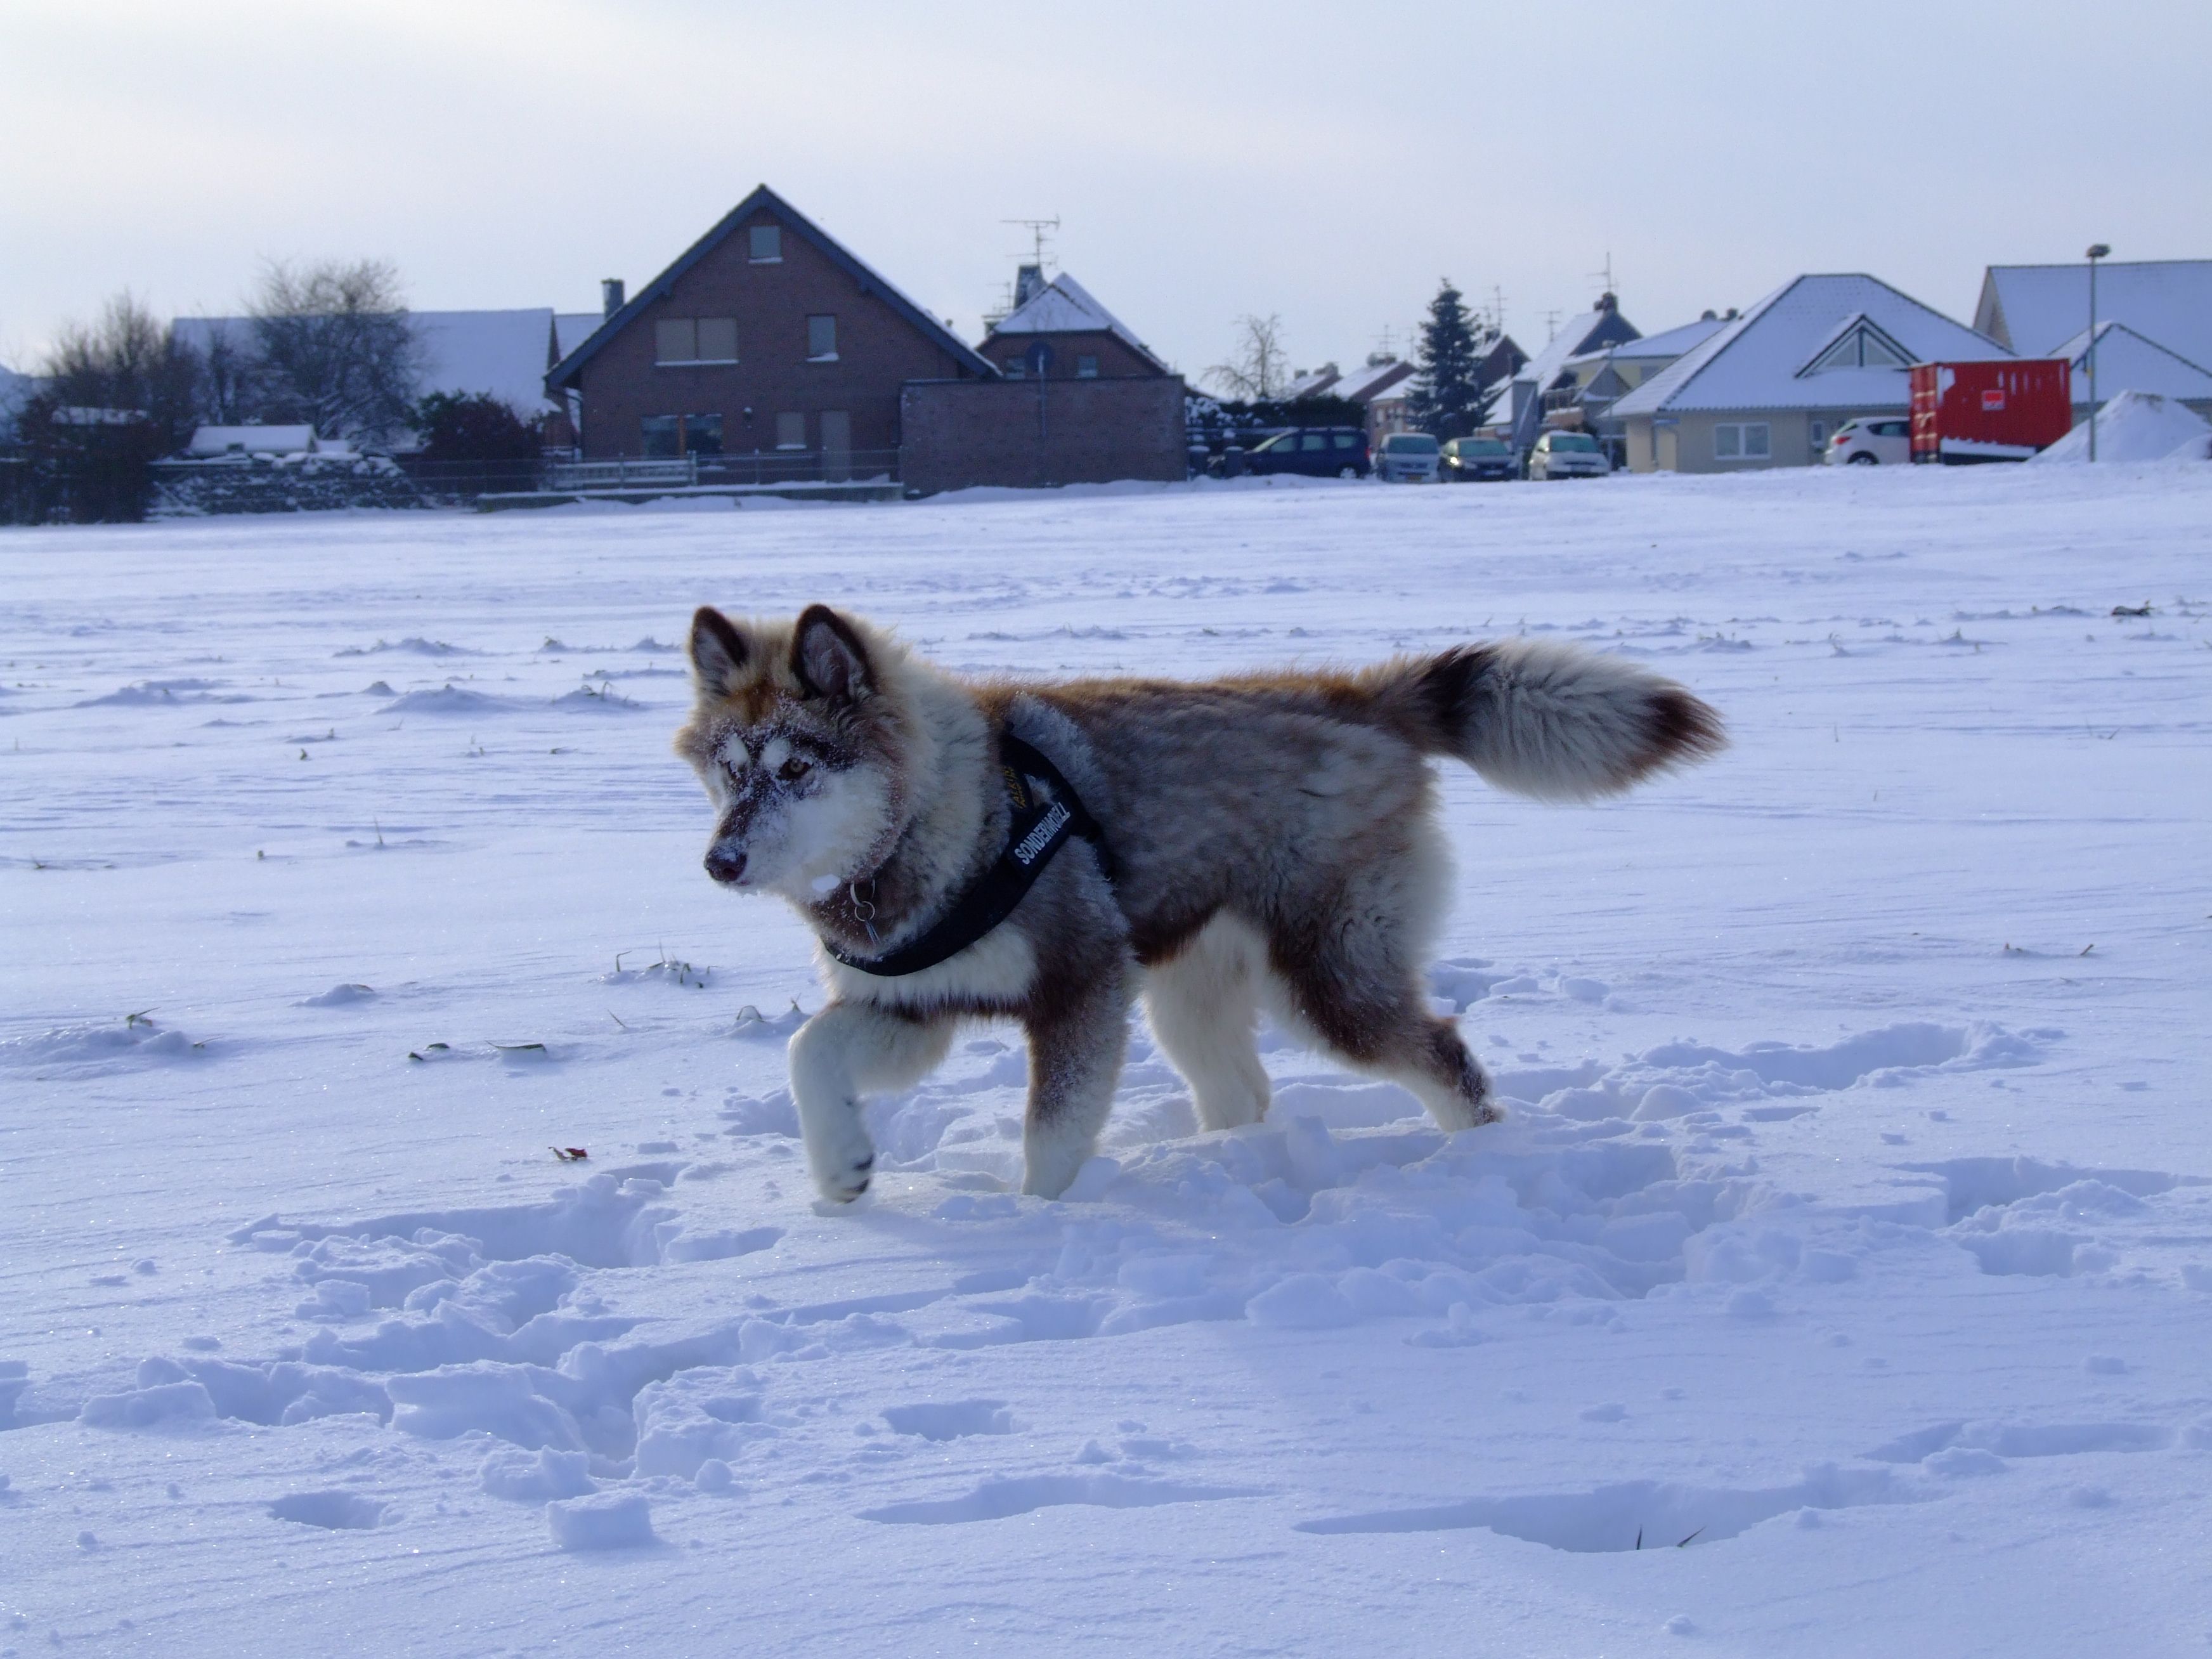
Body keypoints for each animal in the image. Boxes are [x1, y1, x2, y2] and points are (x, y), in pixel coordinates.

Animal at [677, 606, 1725, 1212]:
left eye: (796, 769)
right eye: (730, 771)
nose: (720, 862)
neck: (944, 815)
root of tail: (1353, 695)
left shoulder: (1082, 987)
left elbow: (1052, 1138)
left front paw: (1034, 1231)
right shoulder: (915, 1004)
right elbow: (808, 1053)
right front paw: (841, 1172)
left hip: (1327, 979)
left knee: (1445, 1057)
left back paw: (1479, 1169)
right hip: (1190, 993)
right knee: (1244, 1092)